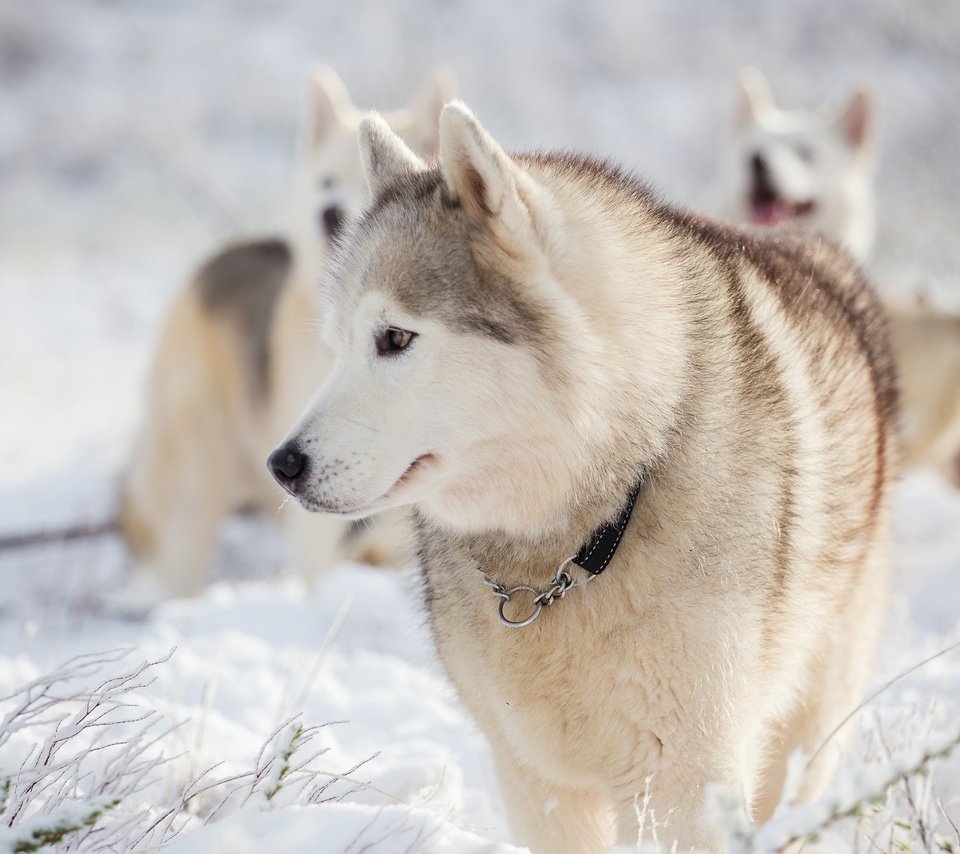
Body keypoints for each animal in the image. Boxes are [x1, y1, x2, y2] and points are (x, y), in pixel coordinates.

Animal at [270, 103, 900, 852]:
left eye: (395, 338)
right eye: (337, 348)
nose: (282, 466)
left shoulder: (683, 785)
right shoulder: (536, 781)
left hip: (804, 729)